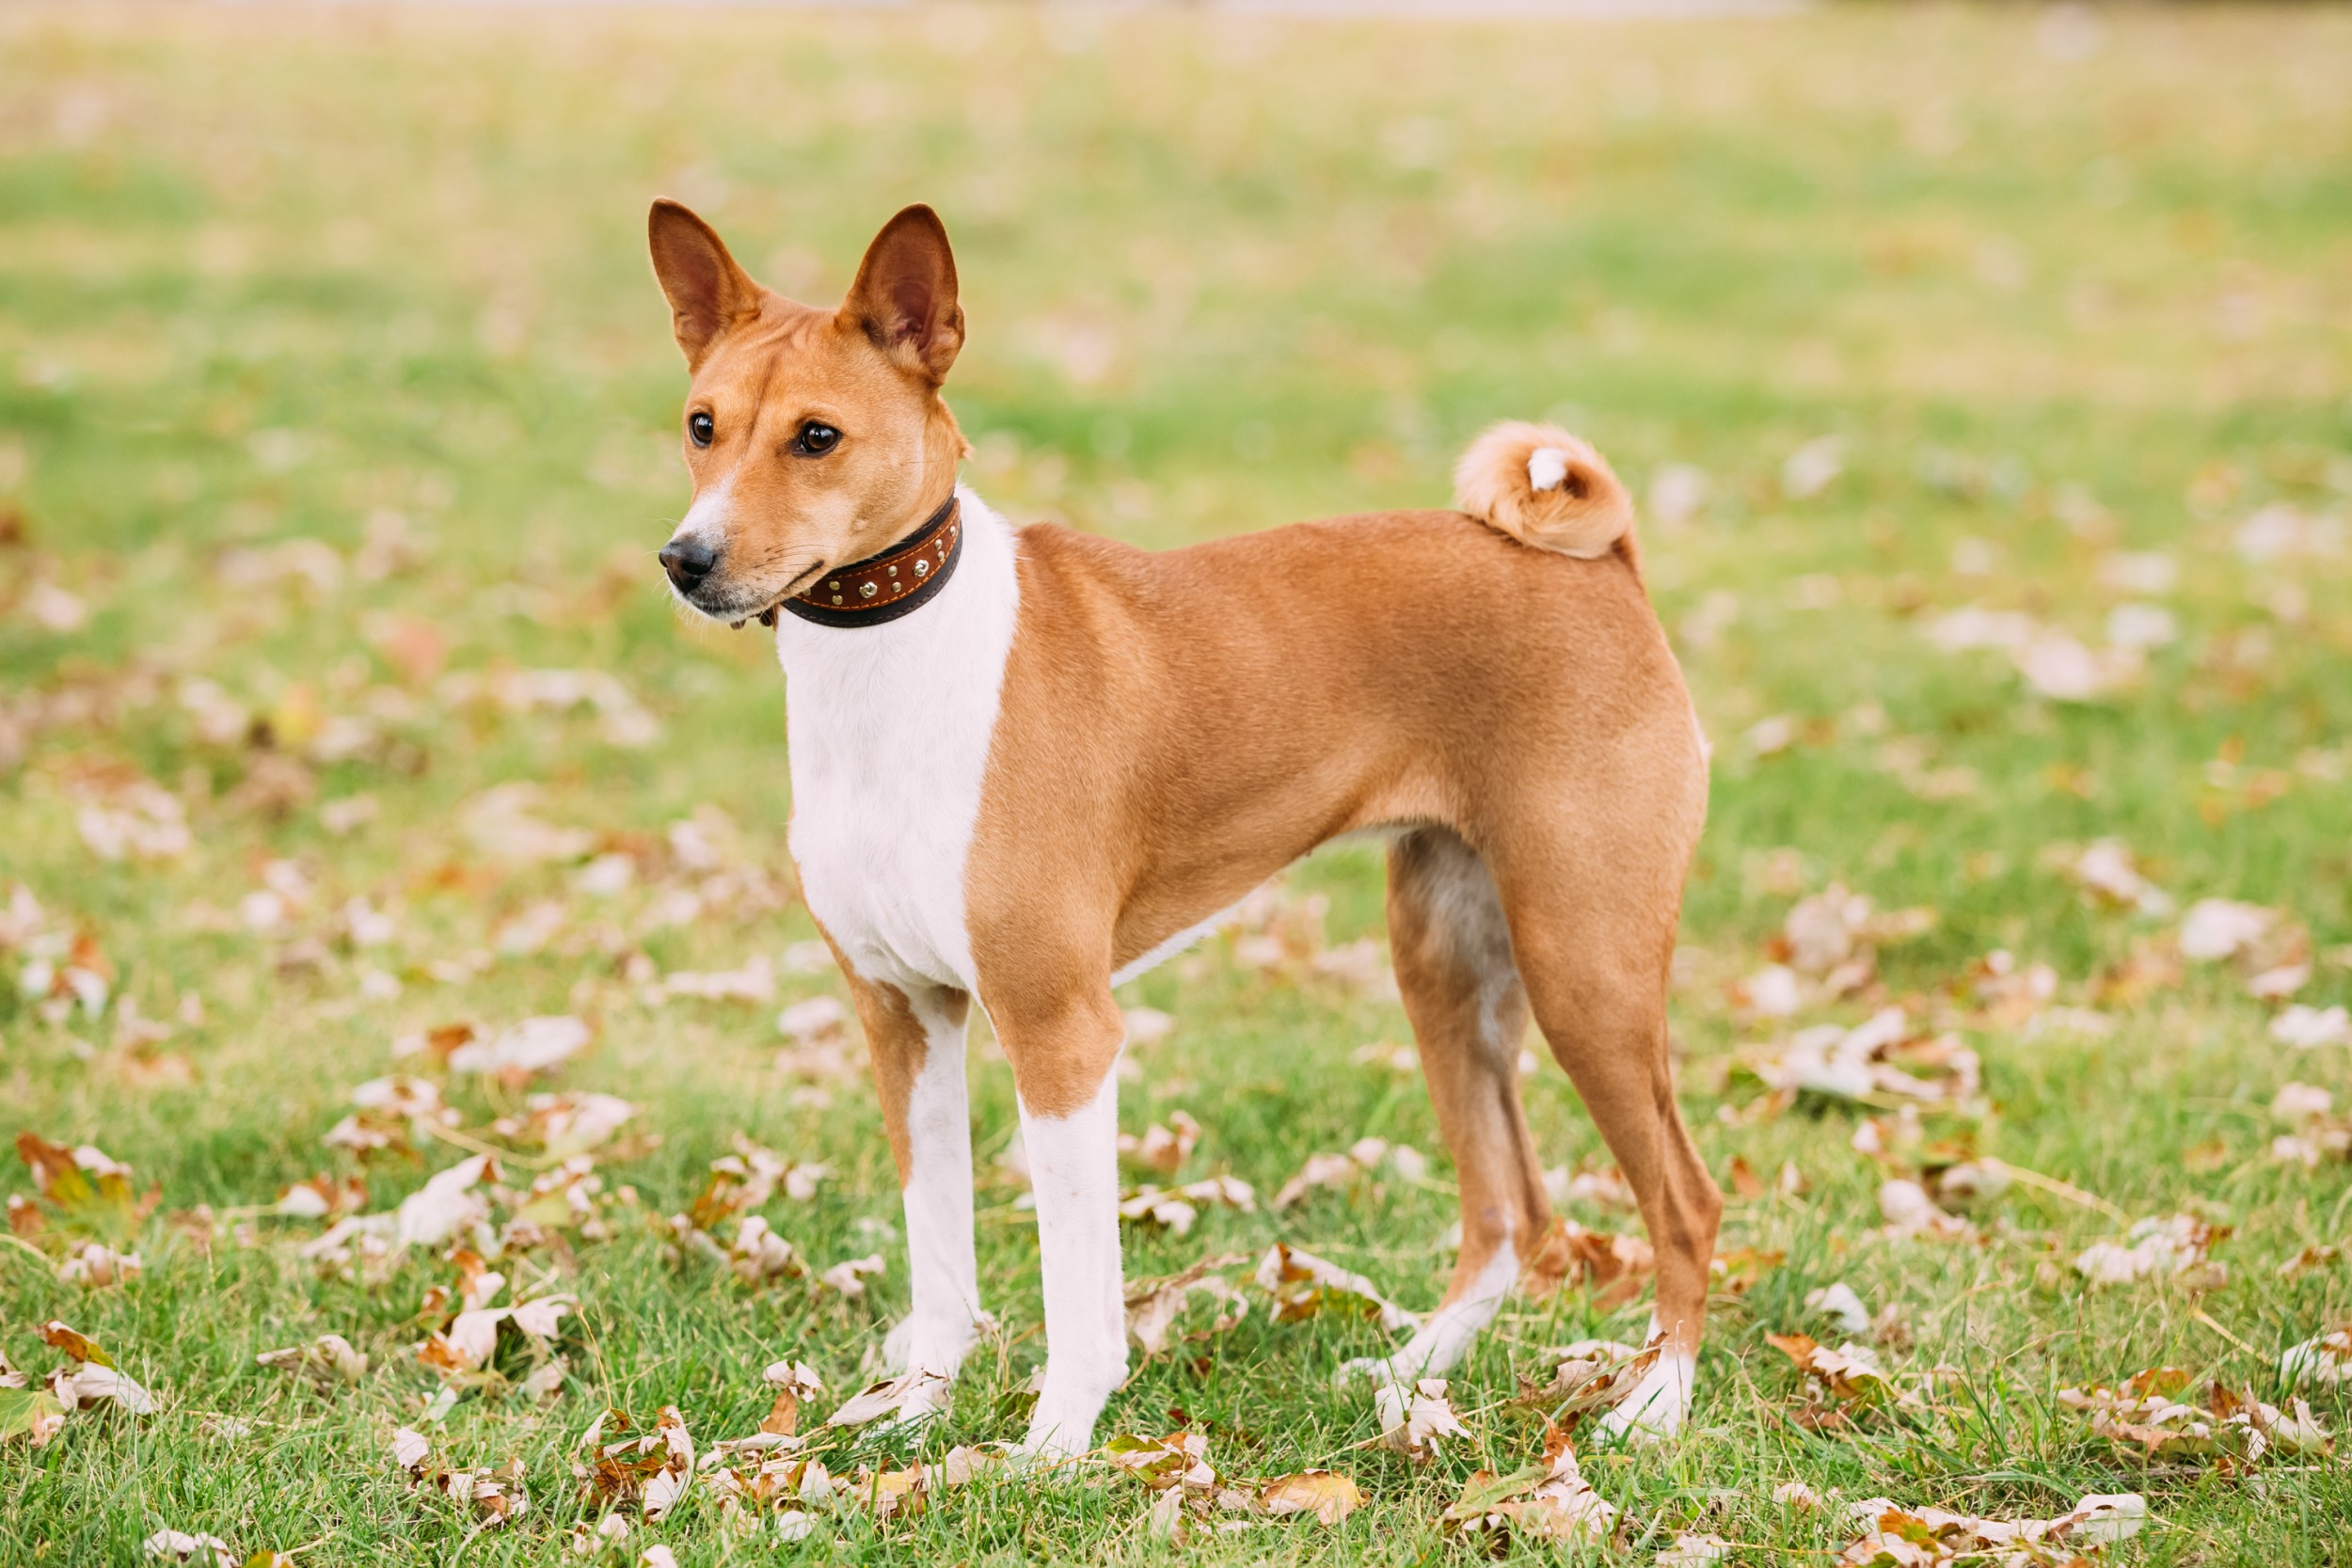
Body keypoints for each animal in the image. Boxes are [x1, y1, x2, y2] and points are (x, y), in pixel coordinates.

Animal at [654, 199, 1722, 1457]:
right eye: (703, 426)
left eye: (816, 437)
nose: (686, 558)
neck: (897, 666)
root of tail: (1606, 566)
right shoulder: (902, 1012)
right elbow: (939, 1260)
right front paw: (912, 1417)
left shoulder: (1061, 1029)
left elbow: (1075, 1284)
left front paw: (1053, 1444)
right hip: (1448, 965)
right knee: (1512, 1208)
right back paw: (1414, 1371)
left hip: (1583, 964)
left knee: (1685, 1199)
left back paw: (1656, 1399)